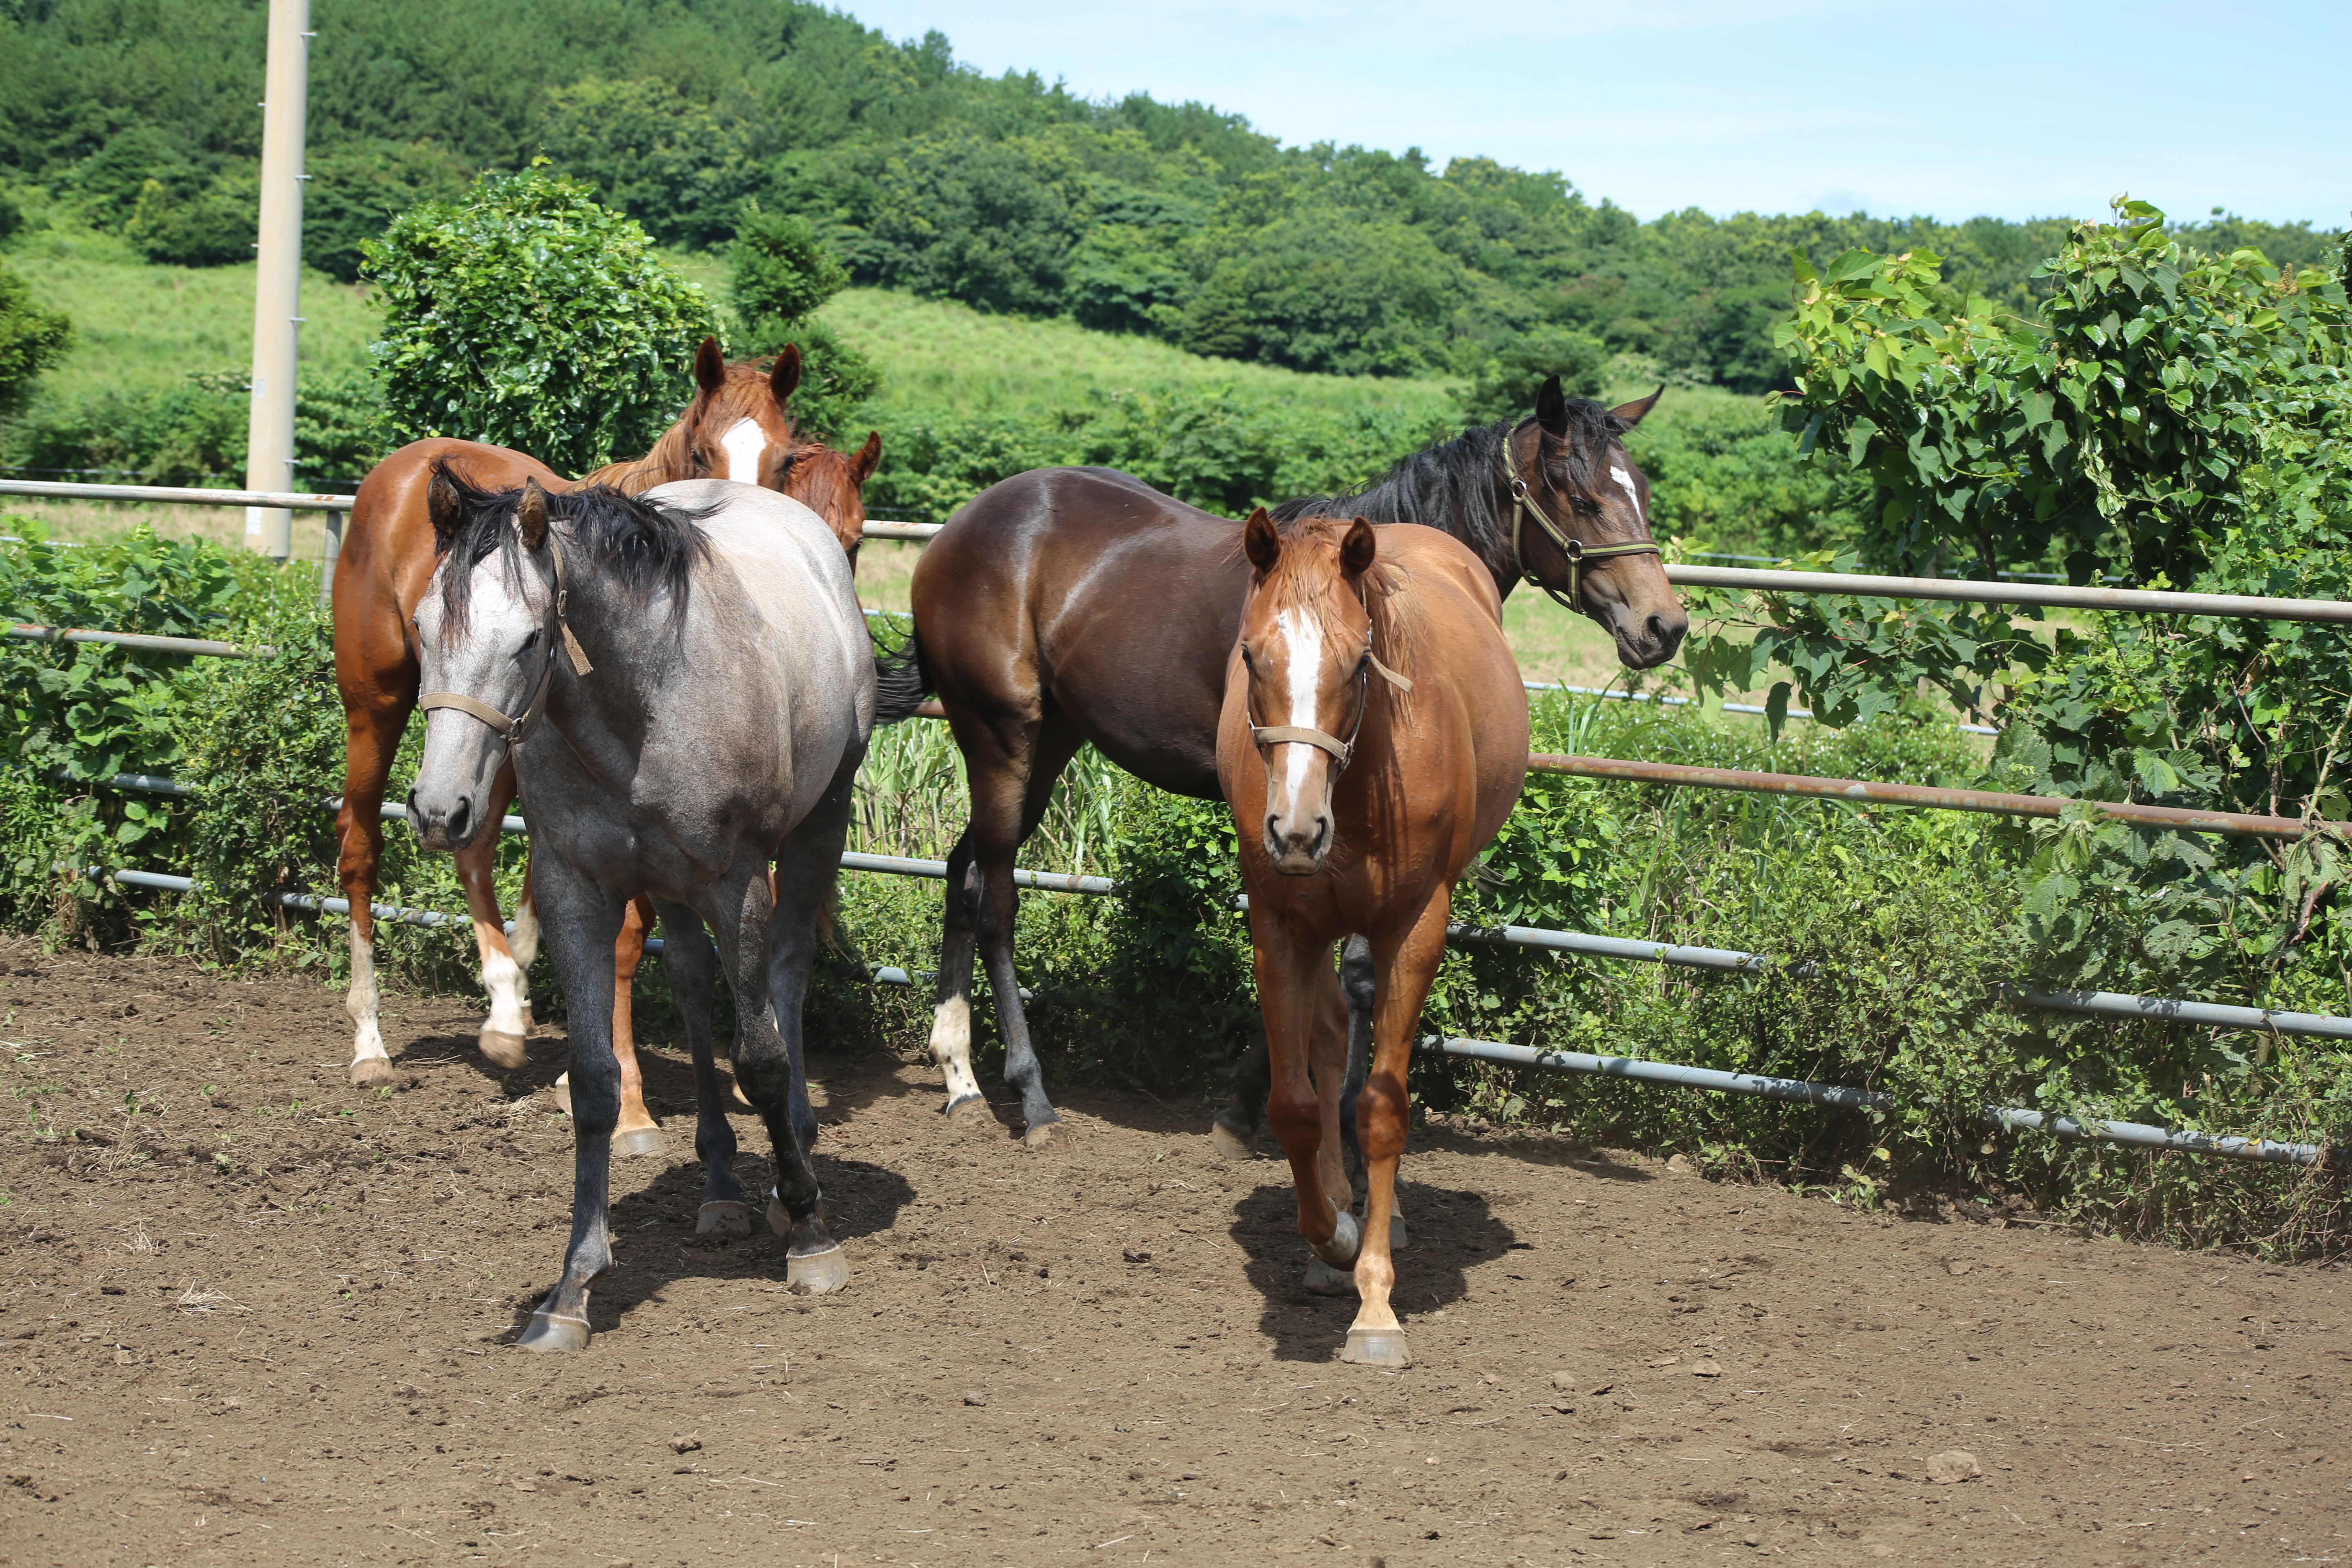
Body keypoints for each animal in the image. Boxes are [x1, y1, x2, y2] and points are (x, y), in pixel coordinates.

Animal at [332, 341, 884, 1142]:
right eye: (703, 448)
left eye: (856, 539)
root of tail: (405, 467)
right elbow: (626, 941)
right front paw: (626, 1105)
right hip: (376, 707)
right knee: (362, 845)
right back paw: (372, 1042)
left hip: (488, 748)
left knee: (473, 843)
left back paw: (507, 1010)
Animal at [889, 374, 1684, 1147]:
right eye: (1581, 497)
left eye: (1641, 492)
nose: (1664, 626)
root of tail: (960, 528)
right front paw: (1311, 1111)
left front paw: (1252, 1105)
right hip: (1001, 736)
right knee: (995, 900)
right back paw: (1031, 1097)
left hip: (1047, 744)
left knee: (962, 871)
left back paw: (960, 1076)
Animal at [1223, 510, 1533, 1363]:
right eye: (1251, 654)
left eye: (1360, 659)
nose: (1296, 830)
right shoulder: (1280, 927)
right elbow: (1295, 1107)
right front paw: (1331, 1239)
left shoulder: (1414, 928)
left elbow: (1385, 1108)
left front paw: (1376, 1306)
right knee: (1331, 1039)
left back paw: (1379, 1221)